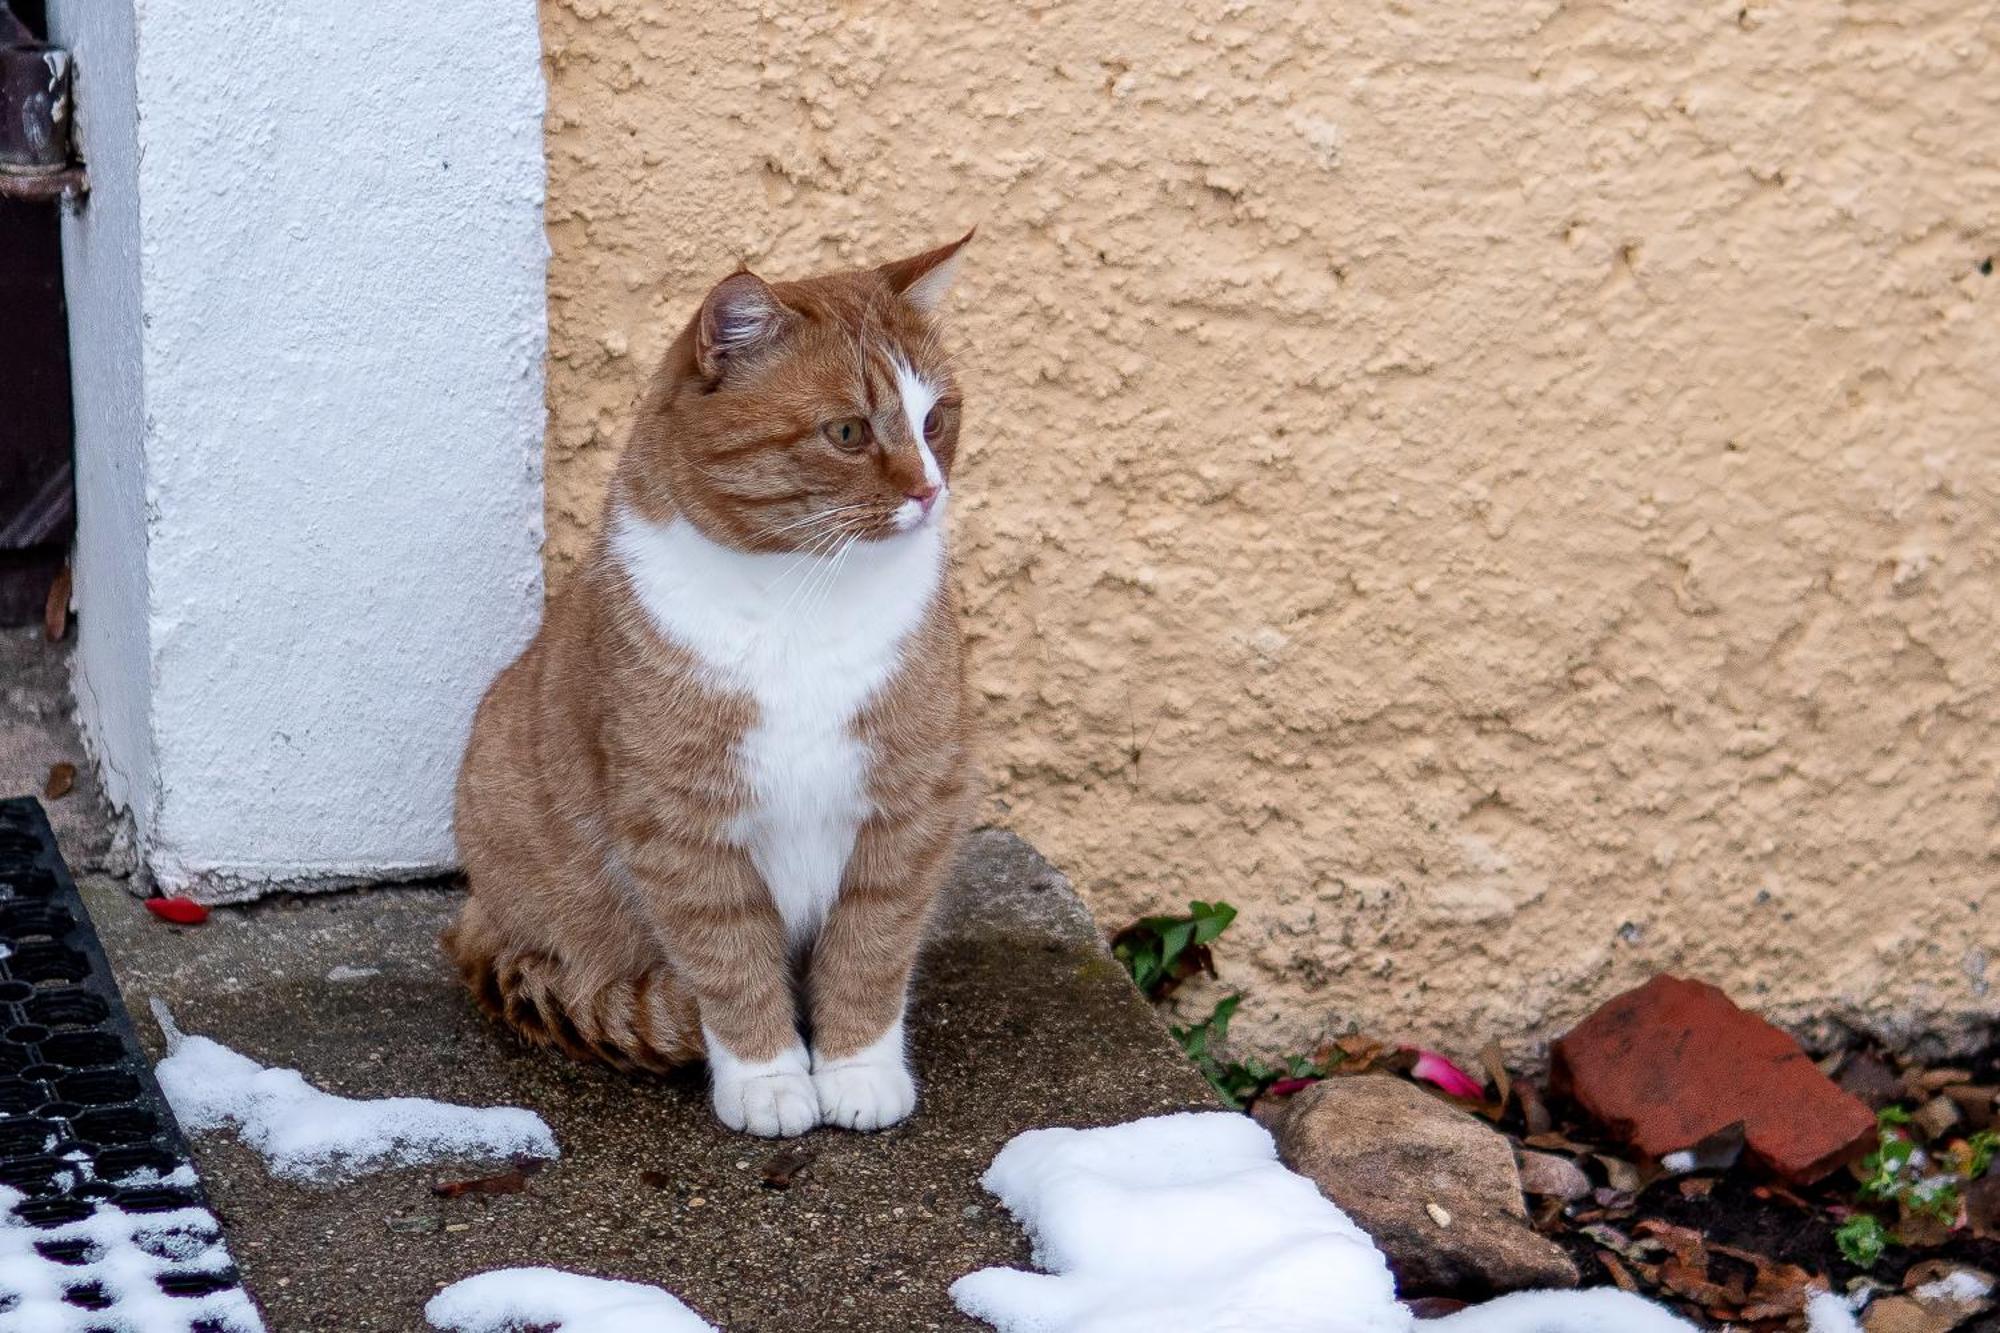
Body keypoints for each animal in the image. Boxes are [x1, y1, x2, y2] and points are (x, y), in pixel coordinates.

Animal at [454, 236, 984, 1128]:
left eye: (935, 419)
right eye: (847, 431)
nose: (928, 492)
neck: (805, 597)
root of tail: (474, 920)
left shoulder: (911, 805)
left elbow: (872, 948)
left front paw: (855, 1068)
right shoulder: (680, 823)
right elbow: (730, 958)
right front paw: (770, 1077)